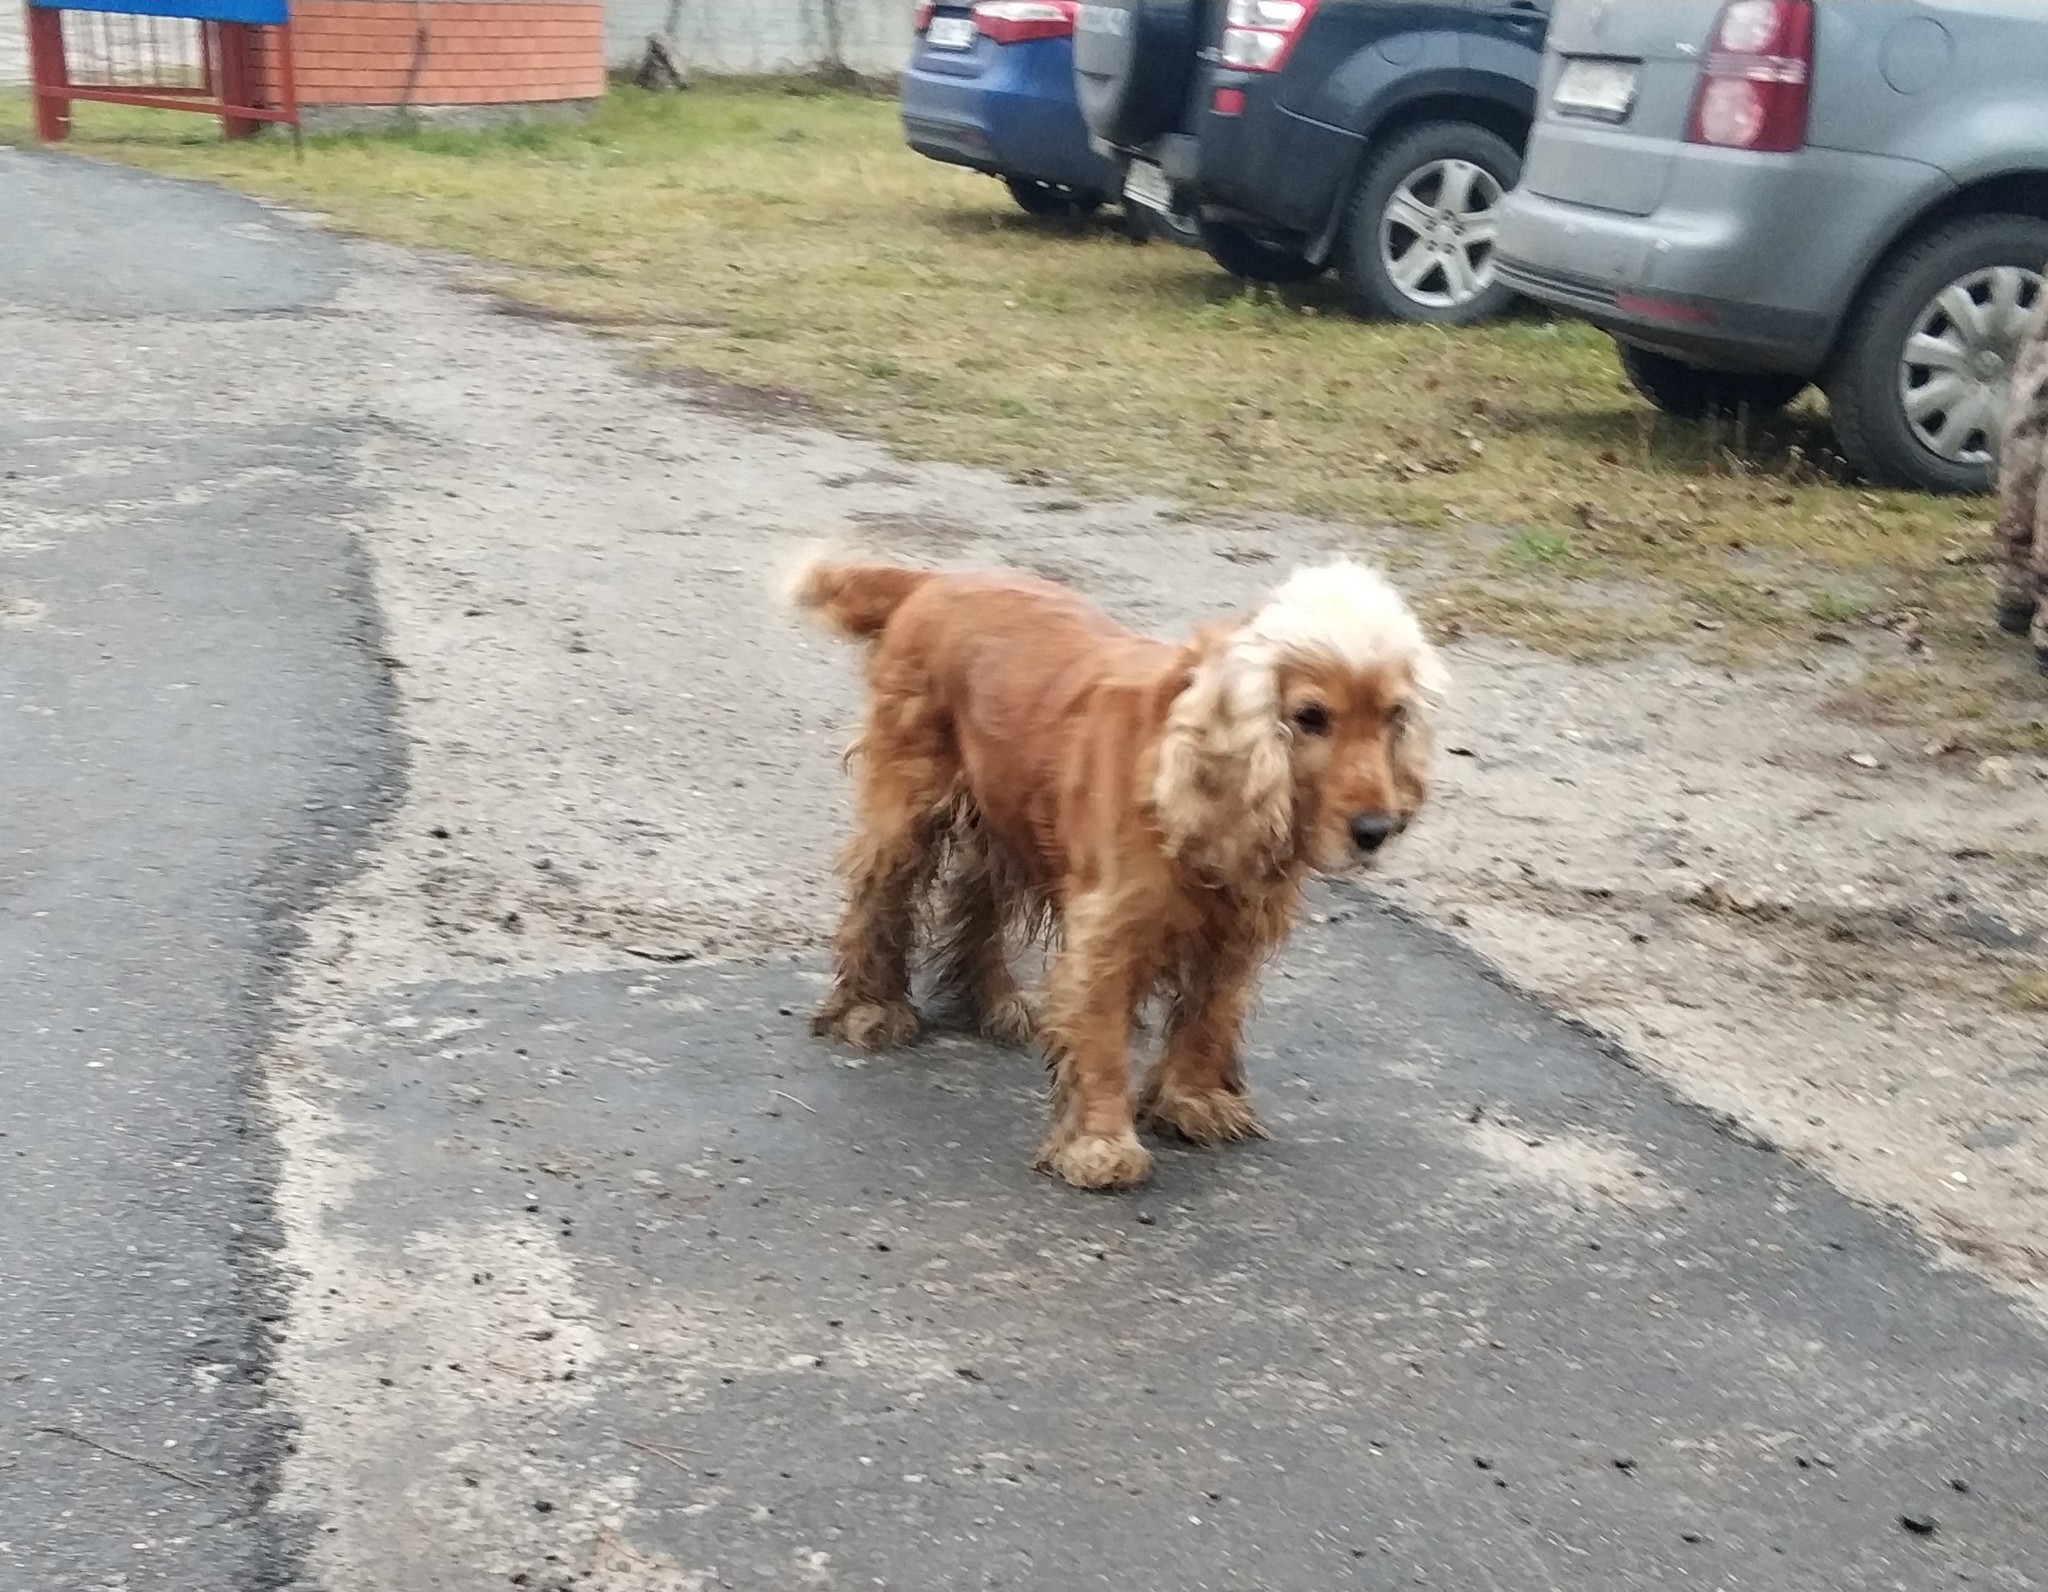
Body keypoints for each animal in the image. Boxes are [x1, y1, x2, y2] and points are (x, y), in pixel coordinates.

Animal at [782, 553, 1441, 1188]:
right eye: (1310, 716)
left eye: (1394, 714)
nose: (1378, 829)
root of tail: (935, 579)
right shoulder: (1111, 927)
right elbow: (1101, 1038)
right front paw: (1099, 1147)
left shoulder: (1237, 924)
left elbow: (1211, 1012)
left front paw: (1193, 1100)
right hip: (909, 799)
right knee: (879, 894)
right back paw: (871, 1010)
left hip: (1006, 808)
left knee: (978, 896)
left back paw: (992, 1003)